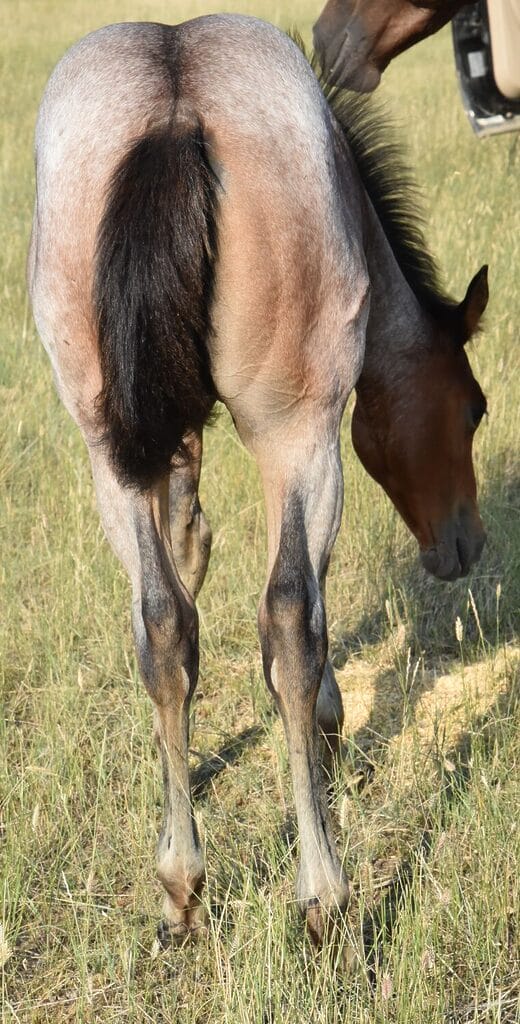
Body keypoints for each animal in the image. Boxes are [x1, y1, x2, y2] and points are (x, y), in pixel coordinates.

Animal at [28, 14, 489, 942]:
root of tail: (176, 104)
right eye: (473, 409)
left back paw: (181, 884)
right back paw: (324, 896)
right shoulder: (313, 446)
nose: (467, 544)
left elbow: (186, 557)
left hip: (108, 451)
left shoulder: (163, 445)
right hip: (295, 435)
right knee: (287, 619)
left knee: (162, 626)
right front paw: (329, 728)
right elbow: (299, 604)